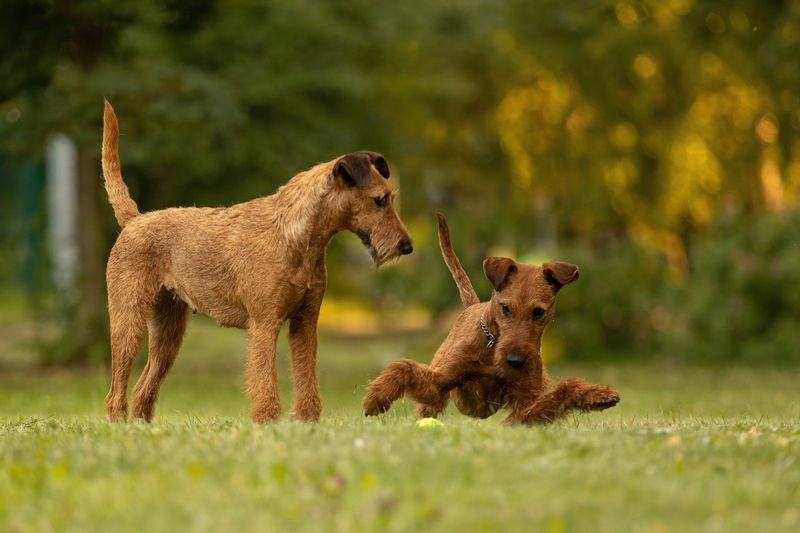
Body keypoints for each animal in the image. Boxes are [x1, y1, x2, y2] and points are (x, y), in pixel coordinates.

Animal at [362, 212, 620, 424]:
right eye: (505, 308)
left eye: (538, 312)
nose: (515, 361)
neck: (492, 345)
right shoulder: (441, 384)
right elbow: (403, 367)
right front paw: (376, 398)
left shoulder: (524, 407)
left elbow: (563, 389)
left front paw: (597, 394)